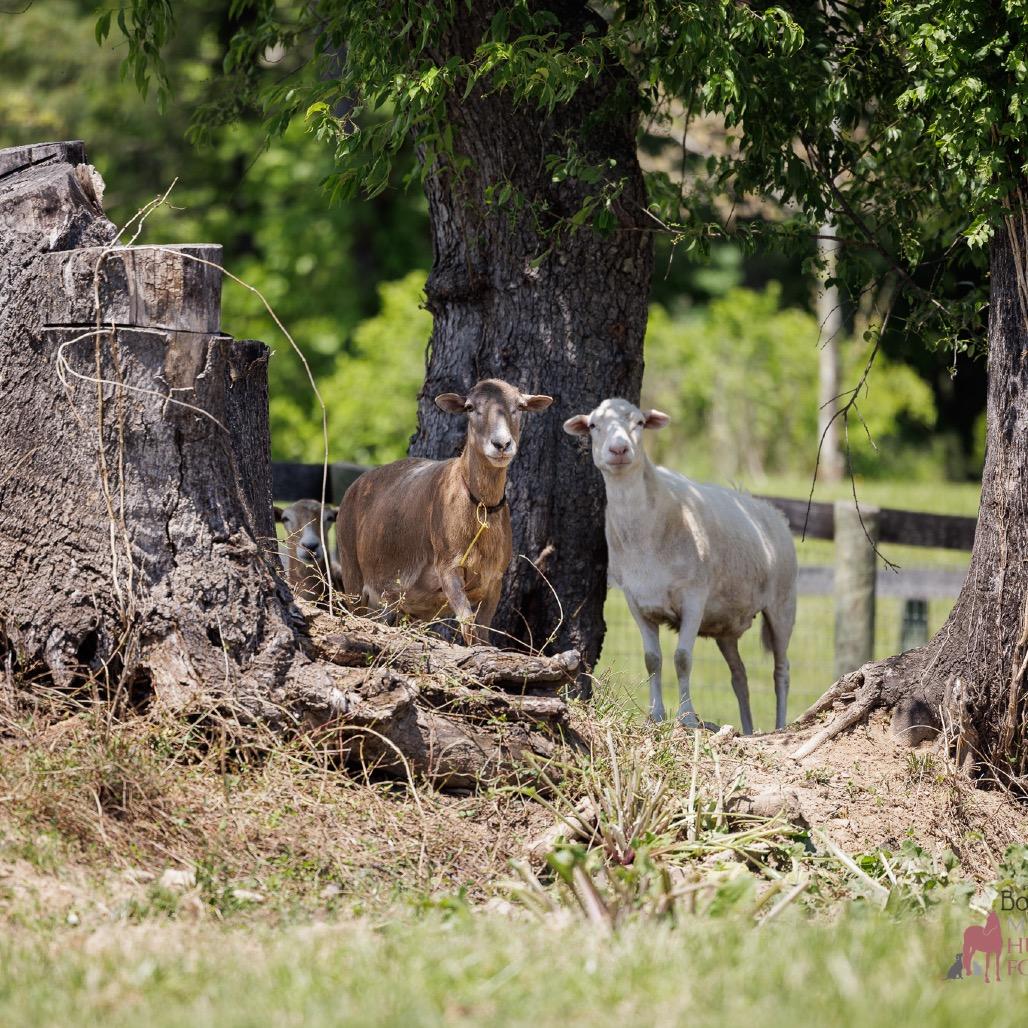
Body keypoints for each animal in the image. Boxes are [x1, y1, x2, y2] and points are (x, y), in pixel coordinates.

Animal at [336, 378, 553, 645]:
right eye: (470, 407)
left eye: (520, 406)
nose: (501, 444)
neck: (479, 507)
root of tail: (357, 483)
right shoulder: (448, 566)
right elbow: (468, 624)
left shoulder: (494, 579)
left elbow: (483, 632)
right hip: (353, 574)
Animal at [564, 398, 797, 733]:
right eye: (594, 425)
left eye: (639, 422)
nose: (619, 450)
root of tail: (770, 510)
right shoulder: (636, 599)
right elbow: (652, 659)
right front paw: (655, 716)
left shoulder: (694, 596)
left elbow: (682, 658)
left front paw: (686, 718)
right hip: (727, 623)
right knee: (739, 675)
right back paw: (748, 729)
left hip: (783, 603)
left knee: (781, 670)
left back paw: (779, 726)